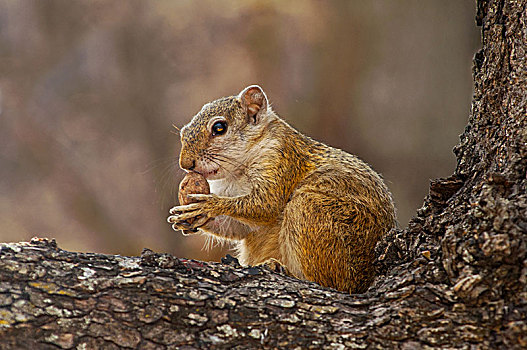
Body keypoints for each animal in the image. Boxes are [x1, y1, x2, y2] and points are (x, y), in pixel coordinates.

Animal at [169, 85, 396, 292]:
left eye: (219, 127)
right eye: (183, 132)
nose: (185, 164)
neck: (237, 172)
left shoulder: (282, 160)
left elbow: (266, 205)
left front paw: (208, 205)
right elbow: (238, 227)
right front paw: (191, 217)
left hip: (313, 211)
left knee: (331, 283)